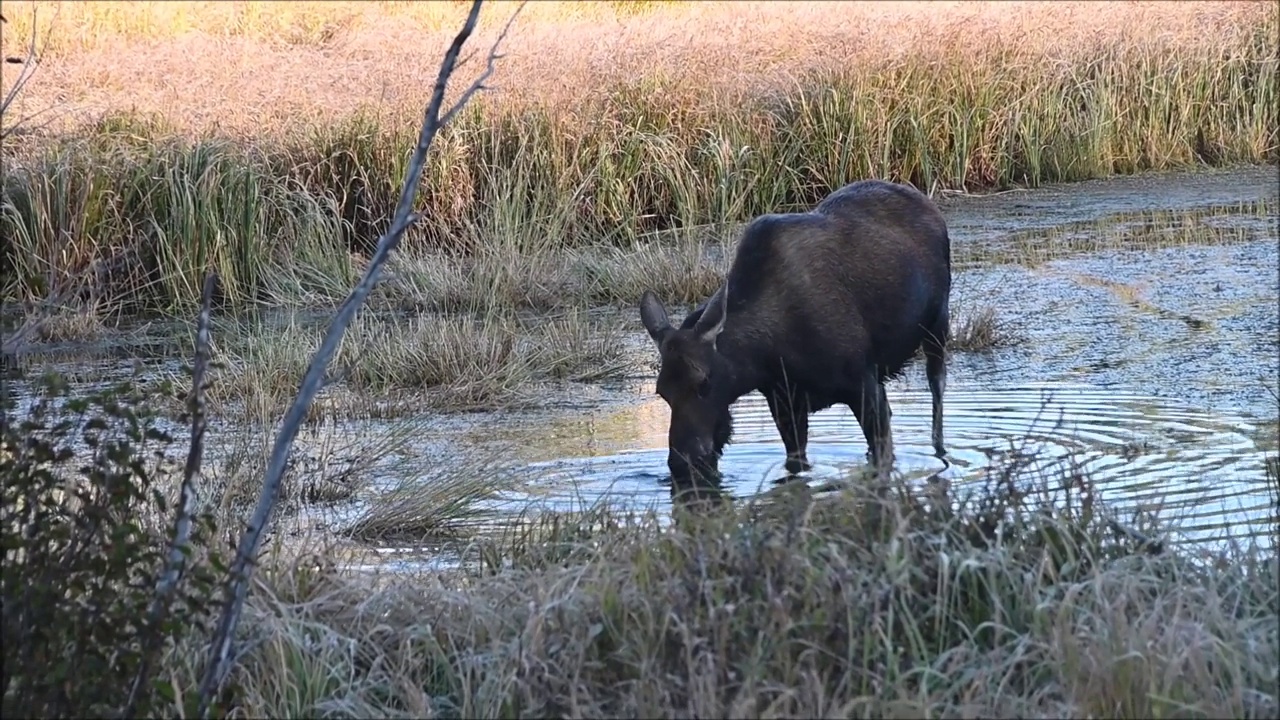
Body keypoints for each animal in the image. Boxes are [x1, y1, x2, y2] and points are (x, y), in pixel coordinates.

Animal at [637, 176, 952, 484]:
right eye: (662, 391)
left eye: (704, 382)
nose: (681, 463)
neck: (766, 356)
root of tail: (929, 205)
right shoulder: (784, 402)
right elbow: (796, 464)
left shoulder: (863, 383)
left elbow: (883, 461)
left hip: (937, 325)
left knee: (937, 389)